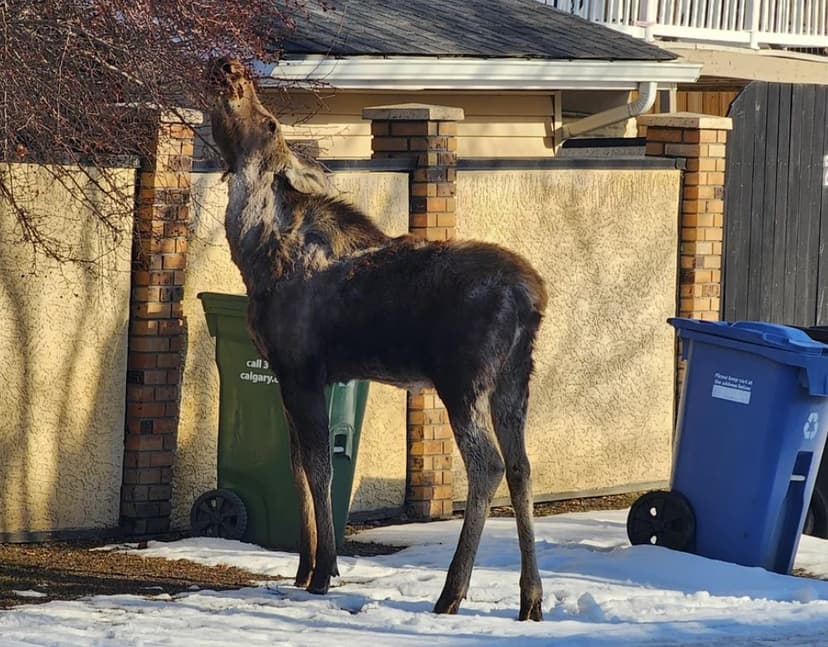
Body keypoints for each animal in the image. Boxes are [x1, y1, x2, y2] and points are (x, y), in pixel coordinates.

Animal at [207, 57, 546, 621]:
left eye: (271, 122)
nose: (229, 67)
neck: (253, 256)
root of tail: (533, 298)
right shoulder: (288, 376)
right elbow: (296, 467)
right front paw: (302, 568)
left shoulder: (302, 372)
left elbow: (319, 470)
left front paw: (324, 570)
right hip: (514, 383)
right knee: (521, 467)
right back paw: (530, 598)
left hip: (463, 381)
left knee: (488, 466)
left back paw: (452, 592)